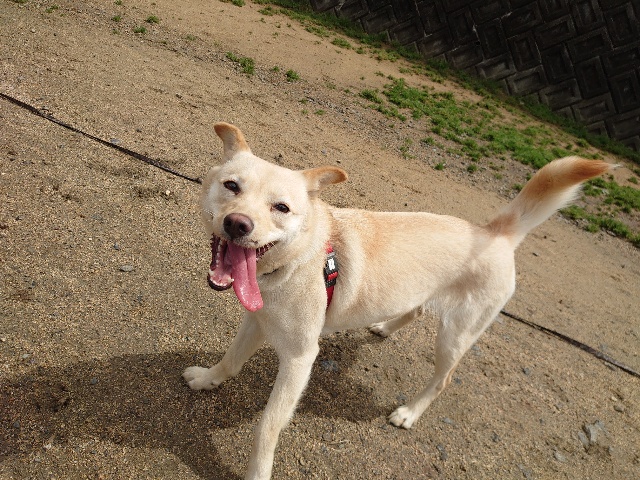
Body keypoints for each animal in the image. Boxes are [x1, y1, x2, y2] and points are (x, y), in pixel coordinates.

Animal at [183, 122, 610, 479]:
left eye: (282, 208)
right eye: (232, 186)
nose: (238, 224)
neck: (295, 261)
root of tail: (496, 232)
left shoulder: (300, 357)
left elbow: (267, 427)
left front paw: (258, 471)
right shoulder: (256, 321)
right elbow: (231, 359)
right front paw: (206, 379)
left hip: (454, 337)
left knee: (442, 380)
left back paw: (408, 413)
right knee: (415, 308)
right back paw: (384, 327)